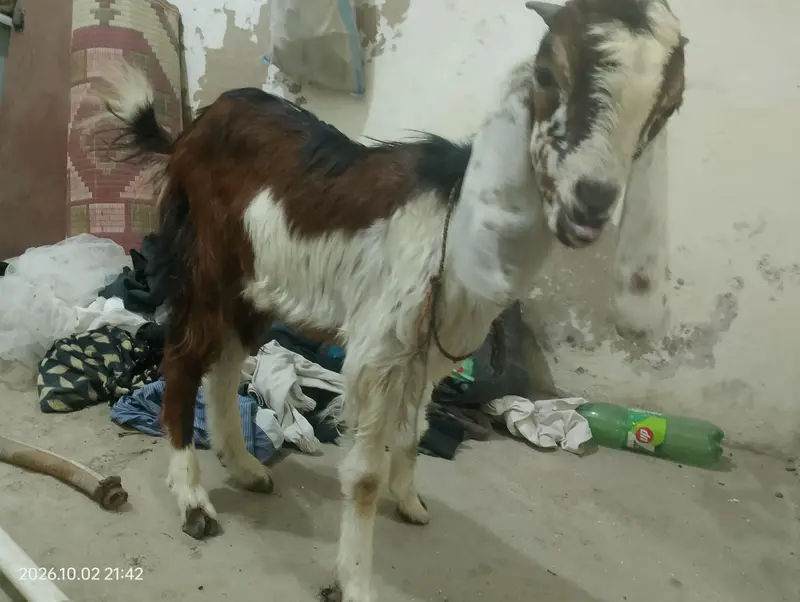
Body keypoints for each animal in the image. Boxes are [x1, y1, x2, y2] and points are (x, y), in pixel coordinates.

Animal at [93, 1, 686, 600]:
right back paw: (195, 503)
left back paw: (245, 469)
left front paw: (409, 501)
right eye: (546, 74)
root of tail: (189, 132)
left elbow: (415, 431)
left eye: (668, 107)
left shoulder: (431, 351)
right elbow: (362, 475)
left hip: (255, 284)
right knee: (183, 361)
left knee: (226, 364)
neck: (456, 220)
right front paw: (356, 581)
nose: (590, 203)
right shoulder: (379, 349)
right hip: (205, 261)